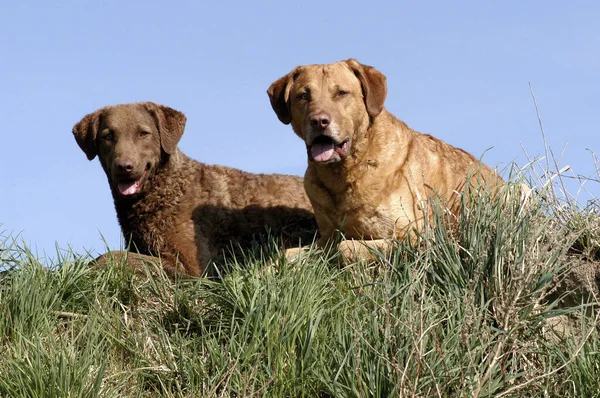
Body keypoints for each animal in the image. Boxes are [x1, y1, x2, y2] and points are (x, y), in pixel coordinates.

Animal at [72, 102, 316, 276]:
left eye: (143, 133)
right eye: (107, 136)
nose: (124, 167)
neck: (168, 188)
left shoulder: (192, 268)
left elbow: (111, 256)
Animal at [268, 59, 502, 258]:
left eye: (341, 93)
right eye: (303, 96)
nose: (319, 121)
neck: (344, 173)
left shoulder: (417, 235)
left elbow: (345, 247)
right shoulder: (326, 237)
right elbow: (283, 256)